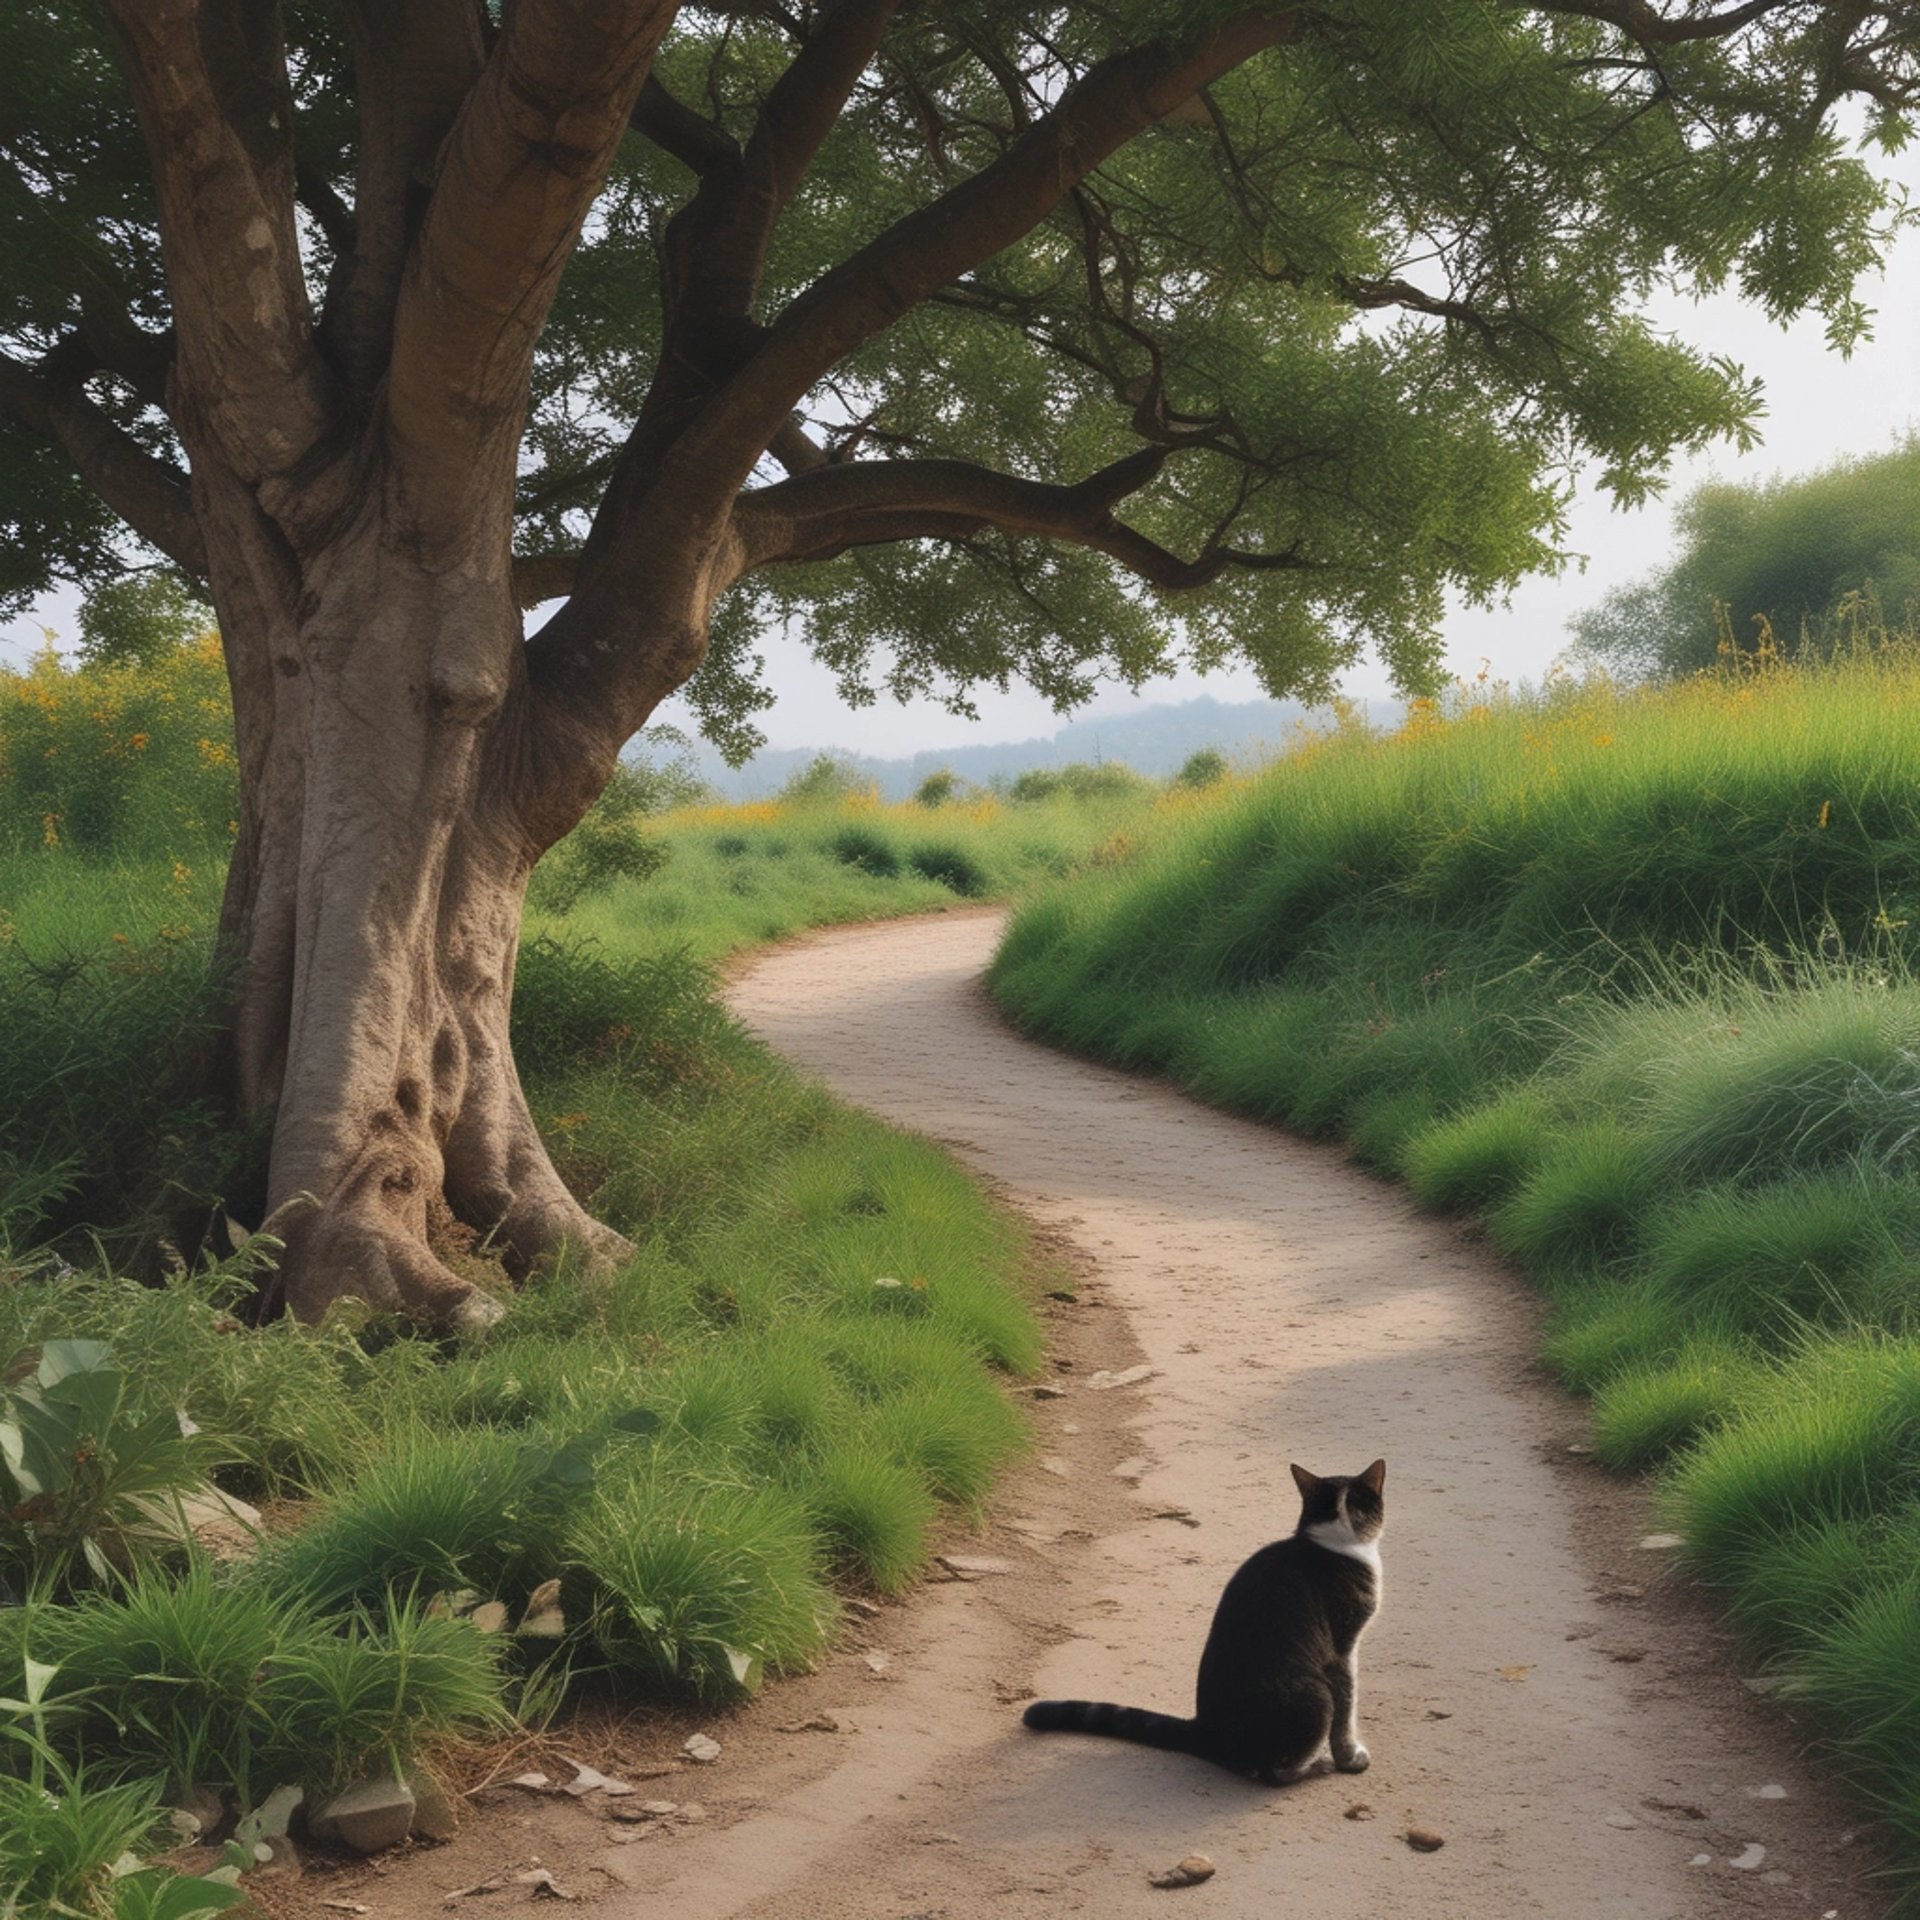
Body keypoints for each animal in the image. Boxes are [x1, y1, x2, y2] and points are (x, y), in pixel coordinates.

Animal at [1029, 1451, 1390, 1781]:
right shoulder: (1343, 1646)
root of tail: (1206, 1732)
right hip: (1315, 1696)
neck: (1336, 1534)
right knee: (1274, 1771)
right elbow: (1347, 1707)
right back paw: (1316, 1766)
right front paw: (1350, 1758)